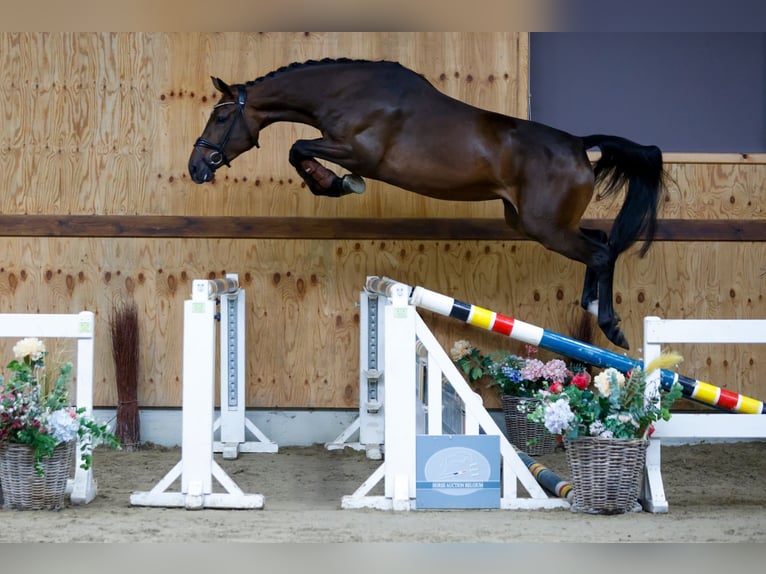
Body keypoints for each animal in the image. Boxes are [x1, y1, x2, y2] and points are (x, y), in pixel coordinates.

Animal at [188, 57, 664, 352]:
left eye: (220, 116)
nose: (196, 168)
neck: (349, 93)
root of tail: (580, 145)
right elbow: (299, 150)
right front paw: (334, 184)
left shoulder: (359, 153)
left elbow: (298, 148)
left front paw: (337, 184)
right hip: (534, 223)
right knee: (601, 241)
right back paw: (591, 307)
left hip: (545, 227)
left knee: (600, 252)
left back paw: (611, 326)